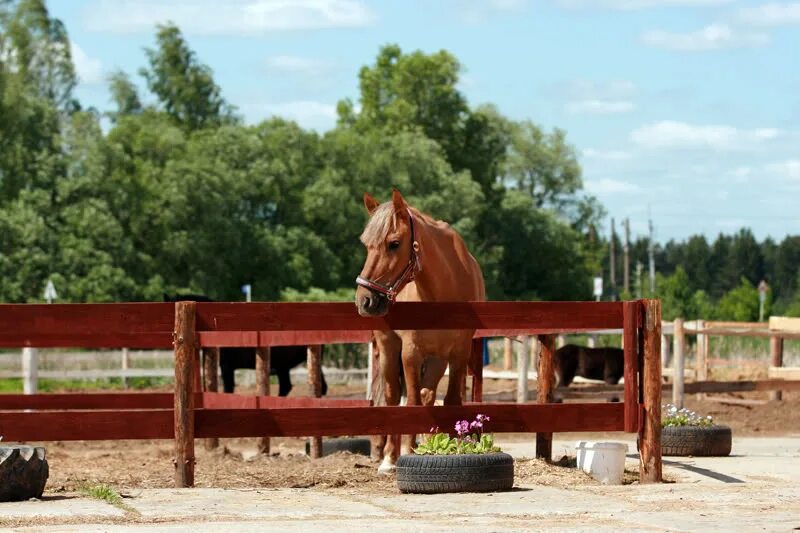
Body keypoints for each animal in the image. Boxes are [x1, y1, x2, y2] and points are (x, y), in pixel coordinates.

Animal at [358, 188, 488, 470]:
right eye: (366, 244)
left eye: (394, 243)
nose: (364, 300)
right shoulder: (411, 352)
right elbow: (411, 402)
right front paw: (406, 452)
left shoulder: (459, 353)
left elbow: (449, 401)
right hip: (389, 348)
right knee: (393, 396)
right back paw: (390, 458)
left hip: (438, 357)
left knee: (427, 394)